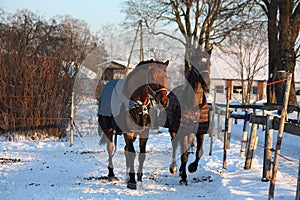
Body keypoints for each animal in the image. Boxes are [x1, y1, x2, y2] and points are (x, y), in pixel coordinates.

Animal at [98, 59, 169, 189]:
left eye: (165, 77)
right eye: (153, 77)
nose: (164, 101)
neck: (137, 104)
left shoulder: (144, 132)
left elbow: (141, 155)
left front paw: (138, 177)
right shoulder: (128, 132)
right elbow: (132, 154)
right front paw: (132, 181)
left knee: (126, 149)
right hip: (108, 129)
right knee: (110, 148)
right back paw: (111, 174)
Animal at [164, 47, 211, 185]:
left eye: (209, 63)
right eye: (197, 64)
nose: (207, 84)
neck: (193, 105)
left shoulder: (200, 132)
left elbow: (199, 152)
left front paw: (192, 168)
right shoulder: (183, 131)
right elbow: (184, 155)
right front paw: (183, 176)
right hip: (174, 129)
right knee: (175, 145)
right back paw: (174, 168)